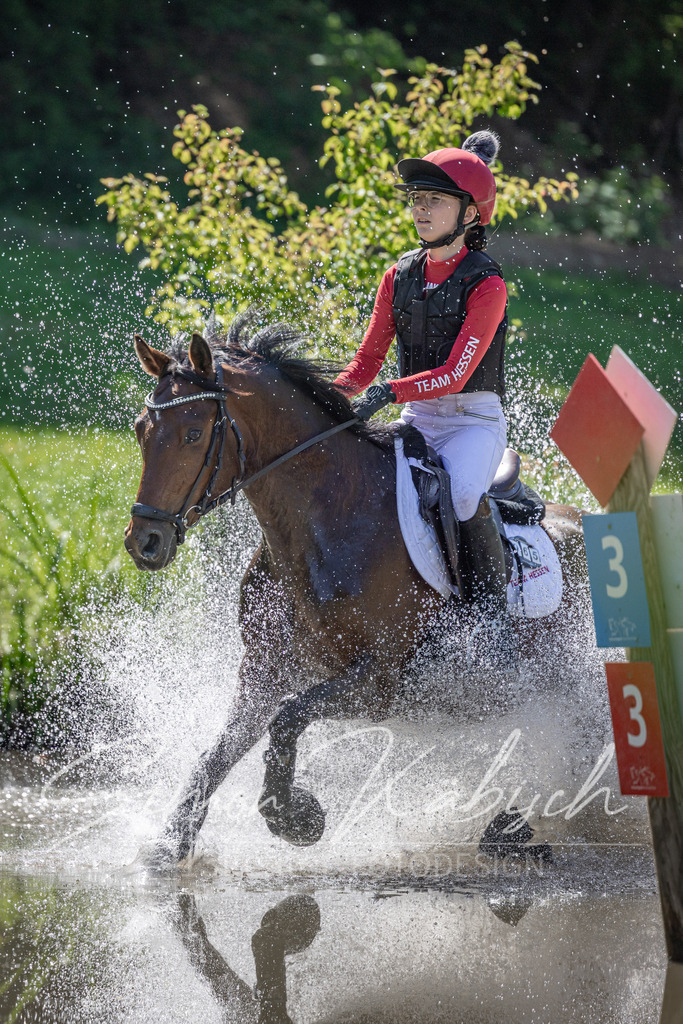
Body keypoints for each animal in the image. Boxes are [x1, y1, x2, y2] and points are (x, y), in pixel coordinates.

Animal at [124, 312, 586, 866]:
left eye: (194, 433)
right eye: (141, 431)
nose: (144, 542)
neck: (326, 524)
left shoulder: (378, 682)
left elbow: (287, 719)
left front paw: (294, 816)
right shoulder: (263, 671)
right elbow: (217, 752)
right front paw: (171, 843)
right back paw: (511, 827)